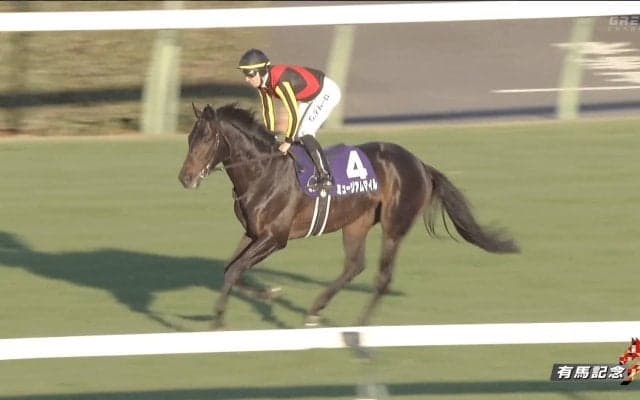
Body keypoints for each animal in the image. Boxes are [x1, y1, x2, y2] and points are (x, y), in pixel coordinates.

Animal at [178, 103, 519, 328]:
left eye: (206, 139)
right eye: (189, 139)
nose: (185, 178)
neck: (264, 171)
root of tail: (421, 164)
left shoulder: (275, 237)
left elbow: (235, 270)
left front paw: (224, 317)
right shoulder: (252, 232)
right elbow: (230, 269)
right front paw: (264, 294)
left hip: (394, 225)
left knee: (382, 276)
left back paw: (360, 324)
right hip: (357, 222)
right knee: (355, 265)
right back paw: (316, 310)